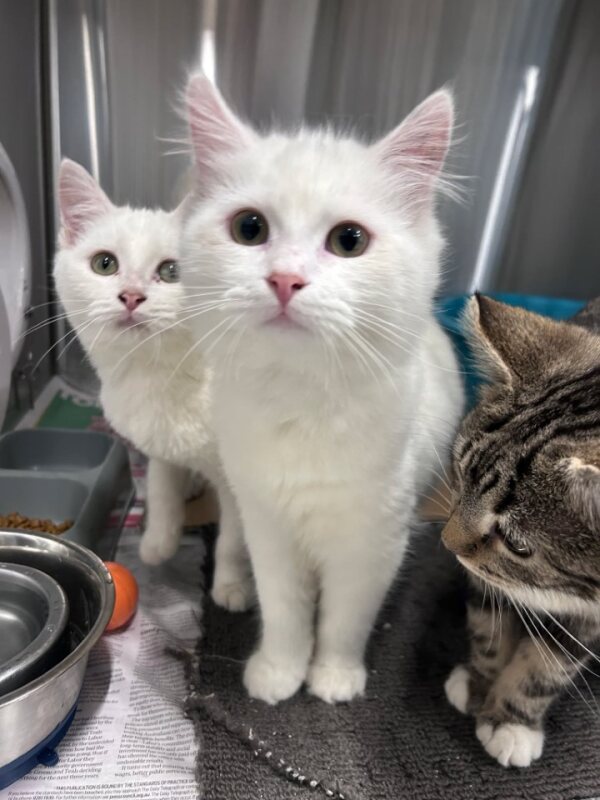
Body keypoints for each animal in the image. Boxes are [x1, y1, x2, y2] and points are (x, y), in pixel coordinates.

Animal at [53, 158, 253, 612]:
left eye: (172, 271)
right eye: (104, 264)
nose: (131, 295)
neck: (158, 374)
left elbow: (234, 537)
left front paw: (231, 586)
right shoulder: (157, 440)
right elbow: (161, 481)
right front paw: (158, 539)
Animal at [179, 73, 465, 704]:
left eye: (349, 240)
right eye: (249, 229)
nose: (285, 280)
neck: (301, 397)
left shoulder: (373, 540)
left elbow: (343, 618)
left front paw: (333, 677)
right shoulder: (269, 526)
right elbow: (286, 608)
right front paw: (279, 671)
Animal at [443, 294, 600, 767]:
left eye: (516, 543)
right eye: (462, 474)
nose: (446, 542)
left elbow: (551, 666)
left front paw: (512, 720)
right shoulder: (486, 576)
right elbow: (489, 620)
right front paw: (481, 680)